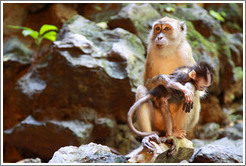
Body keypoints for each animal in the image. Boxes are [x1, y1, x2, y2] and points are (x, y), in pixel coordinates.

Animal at [136, 16, 200, 150]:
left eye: (166, 29)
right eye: (157, 29)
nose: (159, 37)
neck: (168, 51)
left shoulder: (186, 52)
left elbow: (198, 87)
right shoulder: (151, 52)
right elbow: (146, 83)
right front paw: (164, 80)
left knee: (193, 95)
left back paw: (176, 136)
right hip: (157, 121)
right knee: (141, 90)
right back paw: (149, 136)